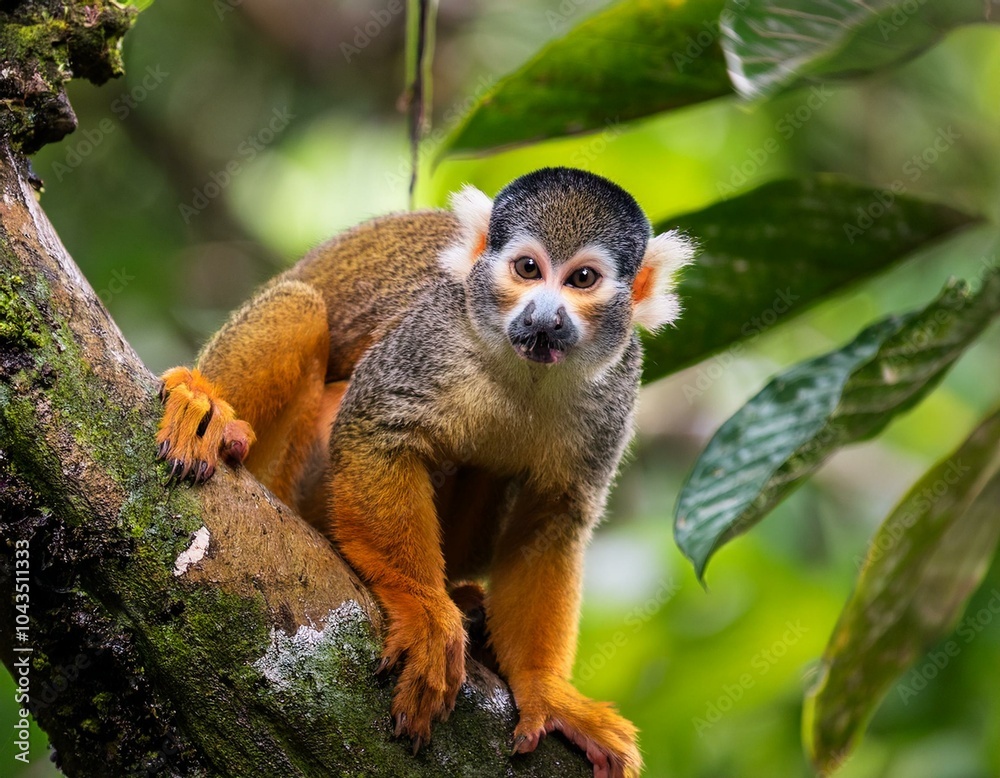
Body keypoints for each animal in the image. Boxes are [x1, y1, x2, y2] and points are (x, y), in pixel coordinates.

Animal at [156, 167, 694, 778]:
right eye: (527, 269)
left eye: (582, 279)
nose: (543, 317)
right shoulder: (432, 336)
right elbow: (374, 431)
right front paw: (424, 611)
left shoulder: (615, 391)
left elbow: (553, 518)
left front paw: (546, 690)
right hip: (281, 474)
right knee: (302, 305)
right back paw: (209, 408)